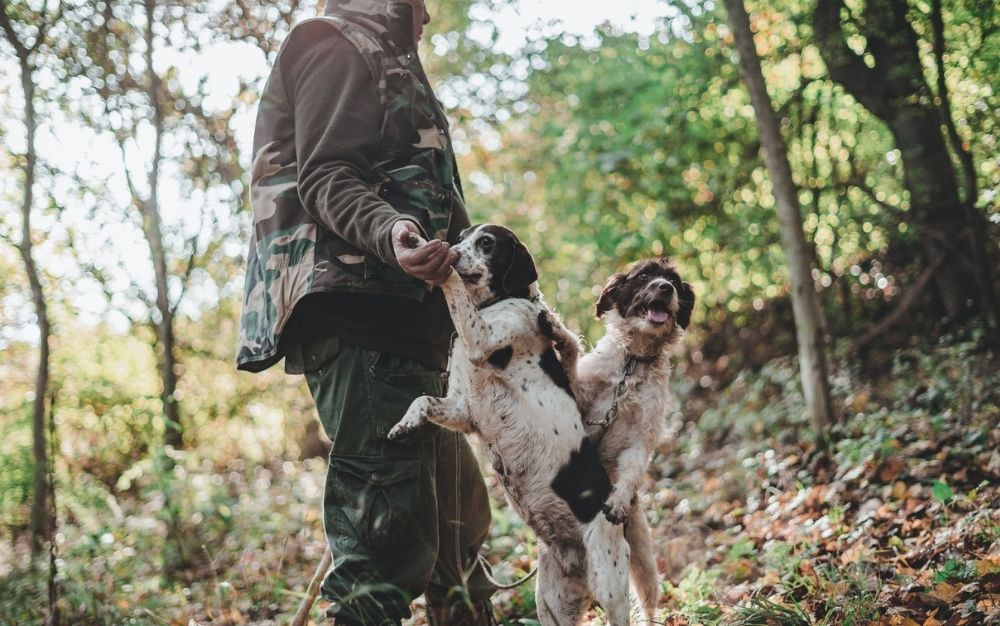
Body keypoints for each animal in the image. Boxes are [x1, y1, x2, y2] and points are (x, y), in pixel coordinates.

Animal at [386, 224, 628, 624]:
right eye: (462, 236)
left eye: (487, 243)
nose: (451, 249)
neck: (496, 303)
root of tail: (574, 560)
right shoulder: (461, 408)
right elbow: (422, 400)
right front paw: (406, 425)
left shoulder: (482, 338)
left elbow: (452, 283)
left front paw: (428, 253)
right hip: (550, 602)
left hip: (609, 585)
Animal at [564, 256, 696, 620]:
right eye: (644, 275)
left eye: (674, 282)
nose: (664, 288)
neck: (633, 364)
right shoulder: (582, 406)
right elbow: (571, 363)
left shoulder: (641, 438)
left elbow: (632, 467)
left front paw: (618, 499)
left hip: (642, 561)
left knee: (648, 604)